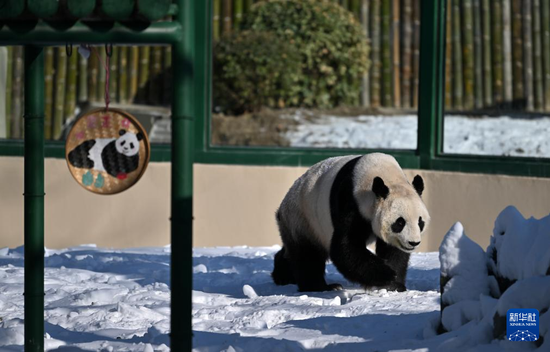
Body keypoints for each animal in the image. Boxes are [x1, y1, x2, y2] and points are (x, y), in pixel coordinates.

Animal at [274, 153, 434, 292]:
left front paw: (394, 285)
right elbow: (345, 247)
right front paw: (387, 273)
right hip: (303, 218)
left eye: (420, 222)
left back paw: (283, 275)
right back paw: (320, 287)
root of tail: (282, 207)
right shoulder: (350, 201)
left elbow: (393, 251)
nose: (413, 242)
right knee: (307, 255)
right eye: (400, 223)